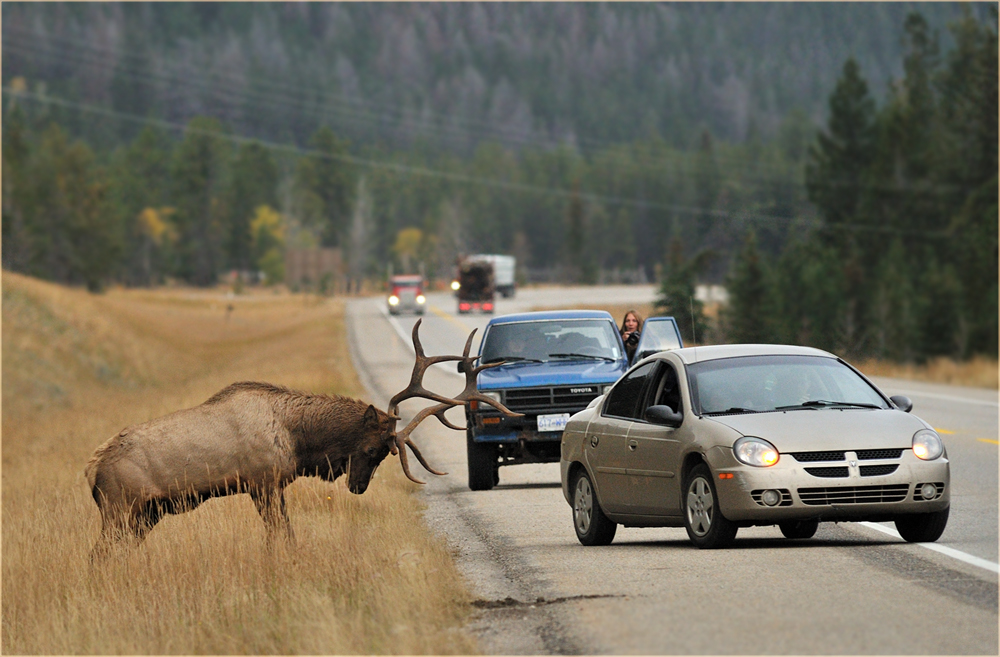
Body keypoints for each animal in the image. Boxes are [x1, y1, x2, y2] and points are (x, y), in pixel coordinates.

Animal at [85, 320, 516, 556]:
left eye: (384, 456)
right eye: (370, 447)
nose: (357, 487)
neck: (299, 439)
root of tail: (91, 471)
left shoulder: (270, 486)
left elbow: (284, 533)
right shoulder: (262, 482)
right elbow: (279, 534)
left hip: (145, 514)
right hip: (121, 508)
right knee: (98, 554)